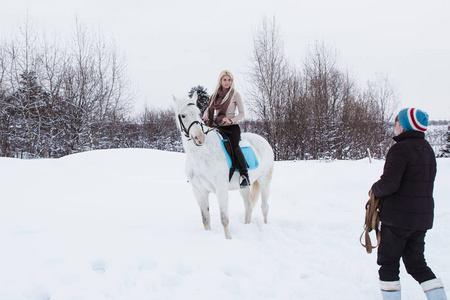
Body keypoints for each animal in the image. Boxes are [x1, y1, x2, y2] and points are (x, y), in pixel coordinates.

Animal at [173, 93, 274, 239]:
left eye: (198, 113)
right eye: (183, 115)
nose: (200, 138)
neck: (201, 155)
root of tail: (263, 140)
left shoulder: (221, 190)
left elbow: (224, 219)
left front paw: (228, 239)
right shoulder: (199, 191)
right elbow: (205, 219)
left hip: (264, 180)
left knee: (264, 207)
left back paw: (266, 228)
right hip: (244, 186)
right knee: (248, 205)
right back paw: (247, 226)